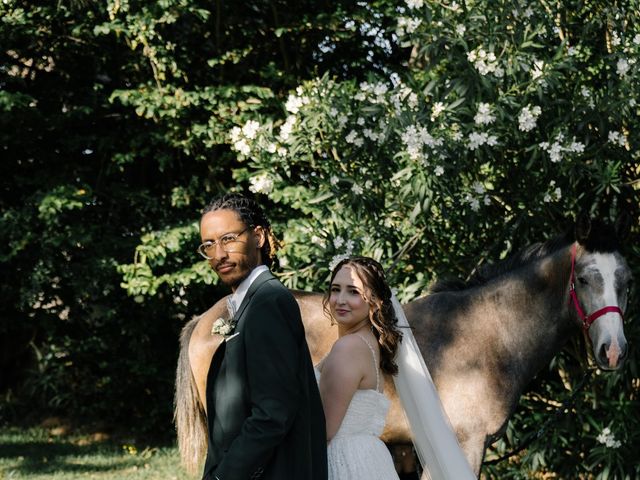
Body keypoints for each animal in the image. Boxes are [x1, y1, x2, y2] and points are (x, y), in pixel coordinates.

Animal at [174, 214, 632, 476]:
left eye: (627, 281)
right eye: (585, 279)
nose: (613, 351)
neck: (488, 332)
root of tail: (211, 318)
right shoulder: (463, 446)